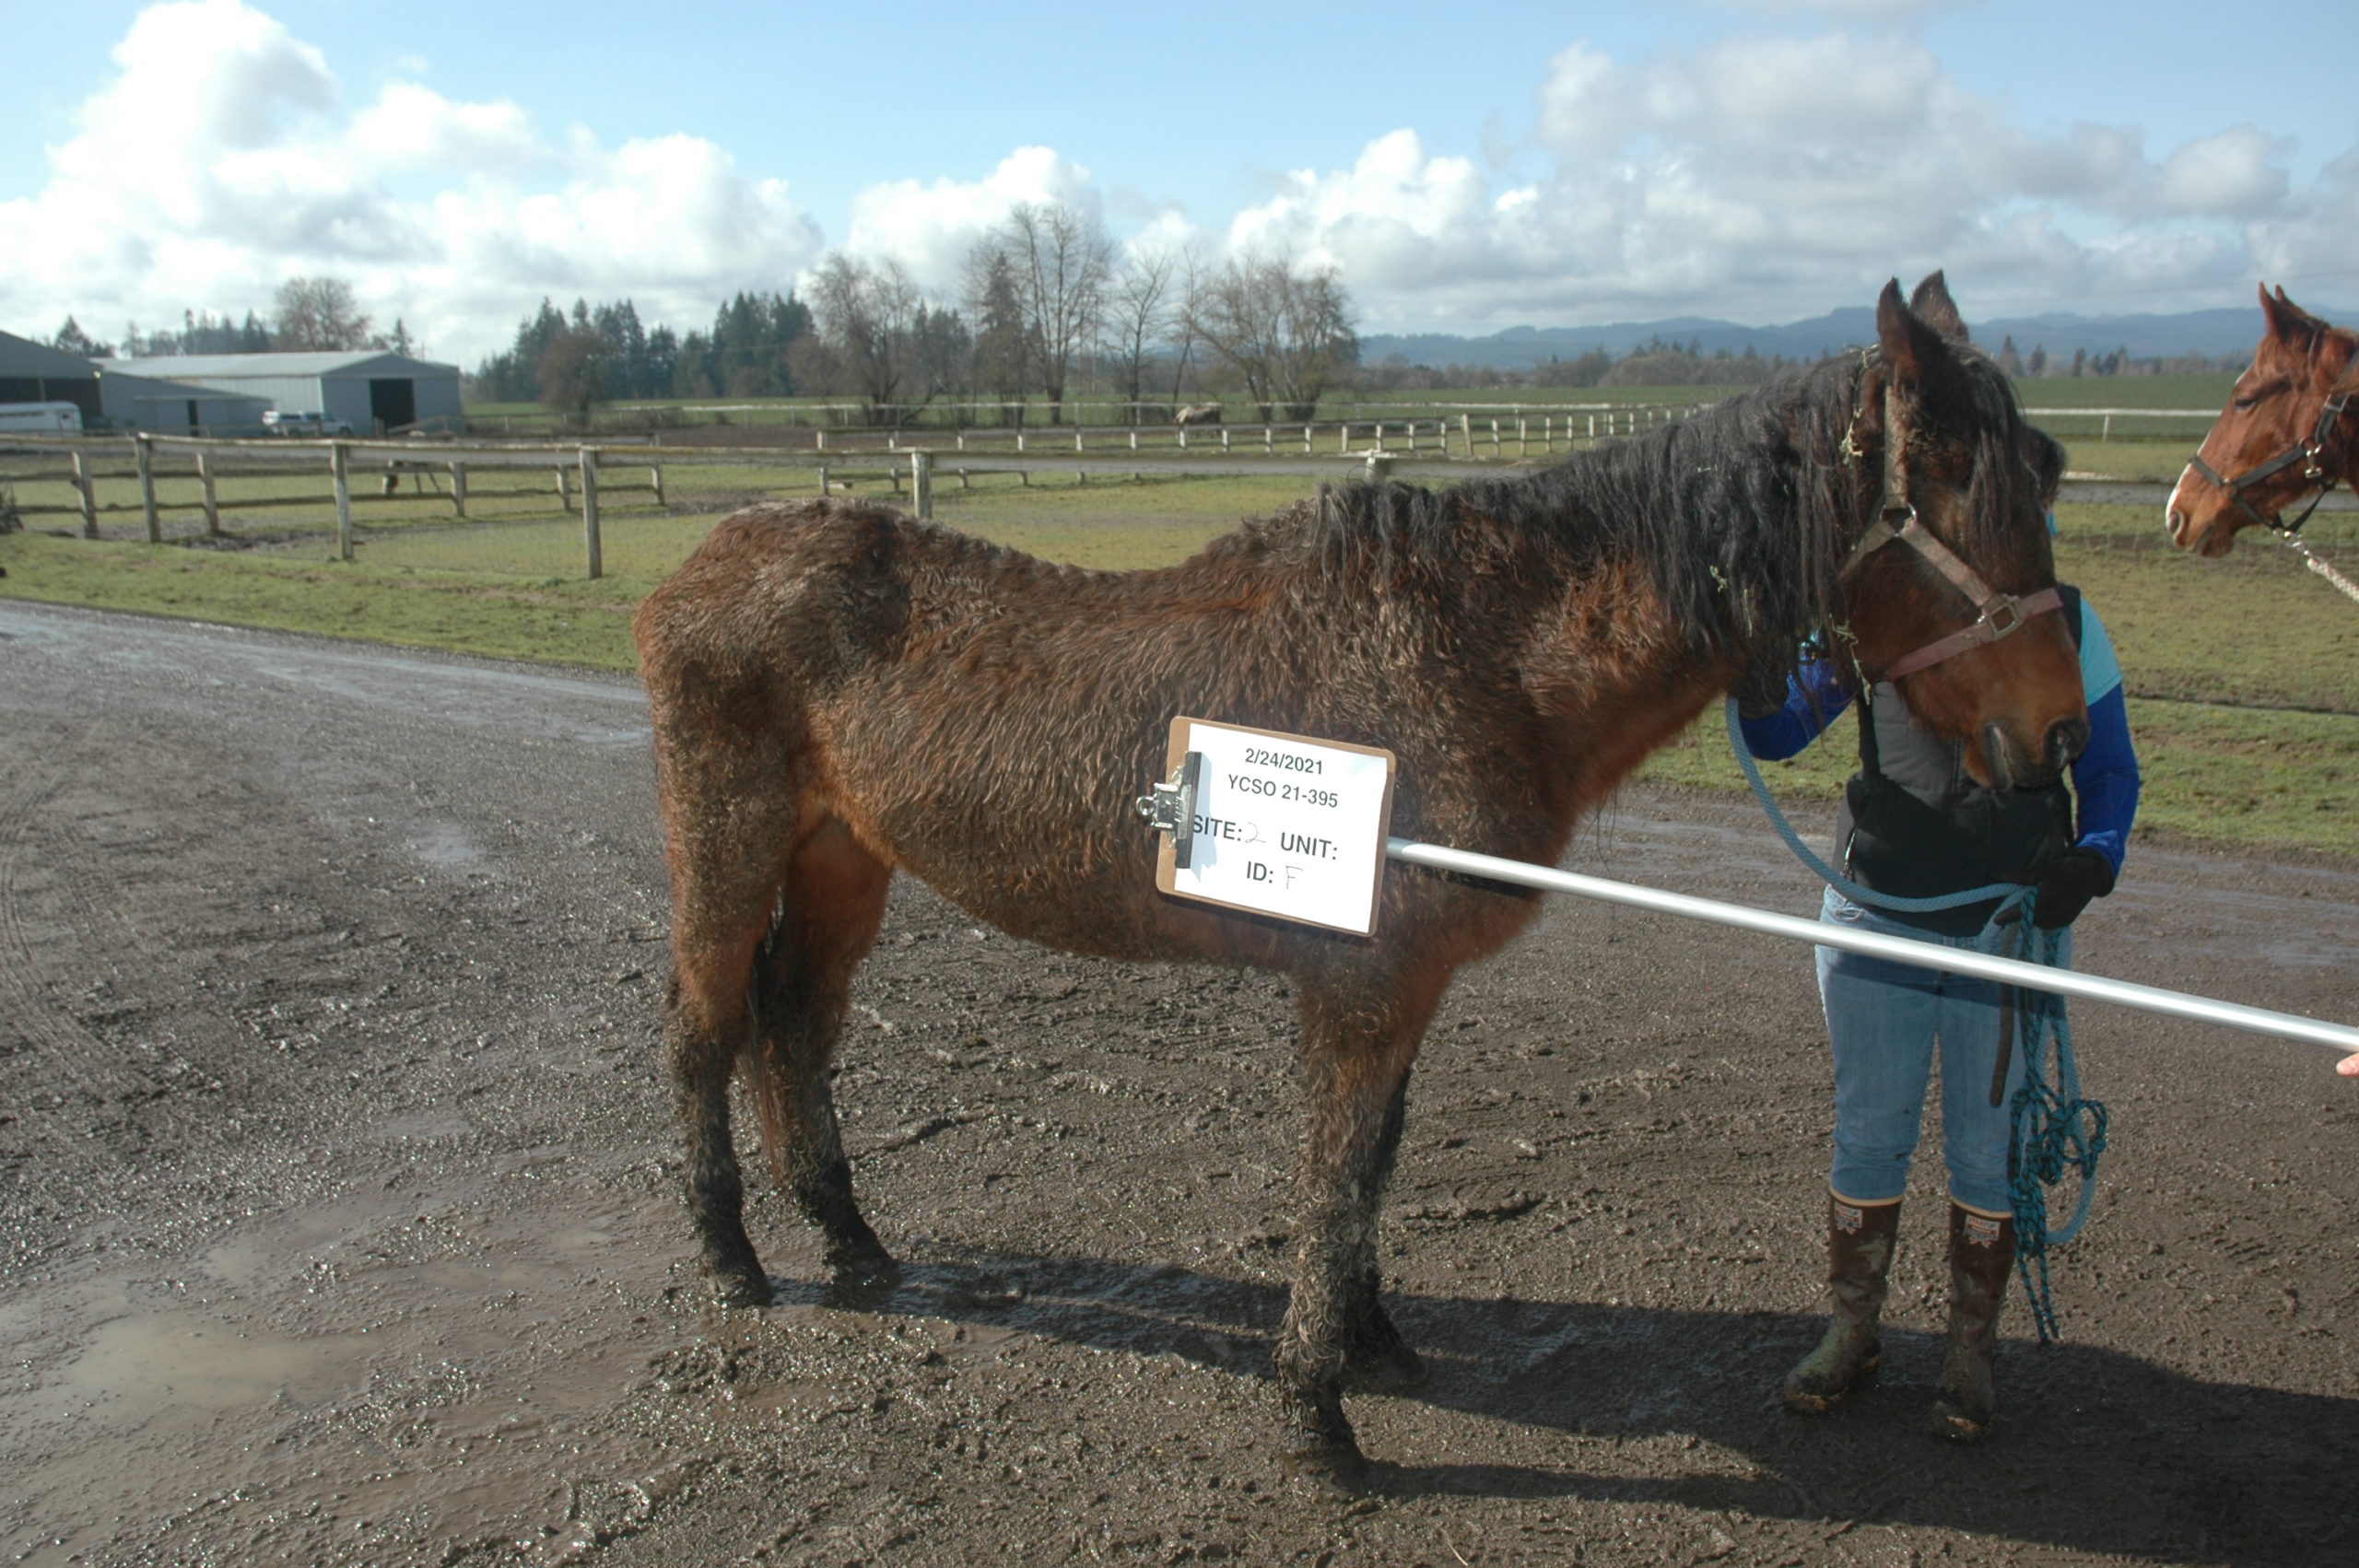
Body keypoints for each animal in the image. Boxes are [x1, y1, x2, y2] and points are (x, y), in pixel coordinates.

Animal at [637, 275, 2095, 1490]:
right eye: (1951, 479)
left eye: (2050, 471)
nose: (2055, 745)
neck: (1474, 651)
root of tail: (698, 569)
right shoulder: (1359, 988)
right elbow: (1335, 1178)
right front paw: (1315, 1415)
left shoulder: (1409, 984)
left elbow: (1378, 1164)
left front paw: (1372, 1338)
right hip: (729, 843)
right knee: (707, 1029)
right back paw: (732, 1257)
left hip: (844, 859)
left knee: (794, 1024)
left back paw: (853, 1244)